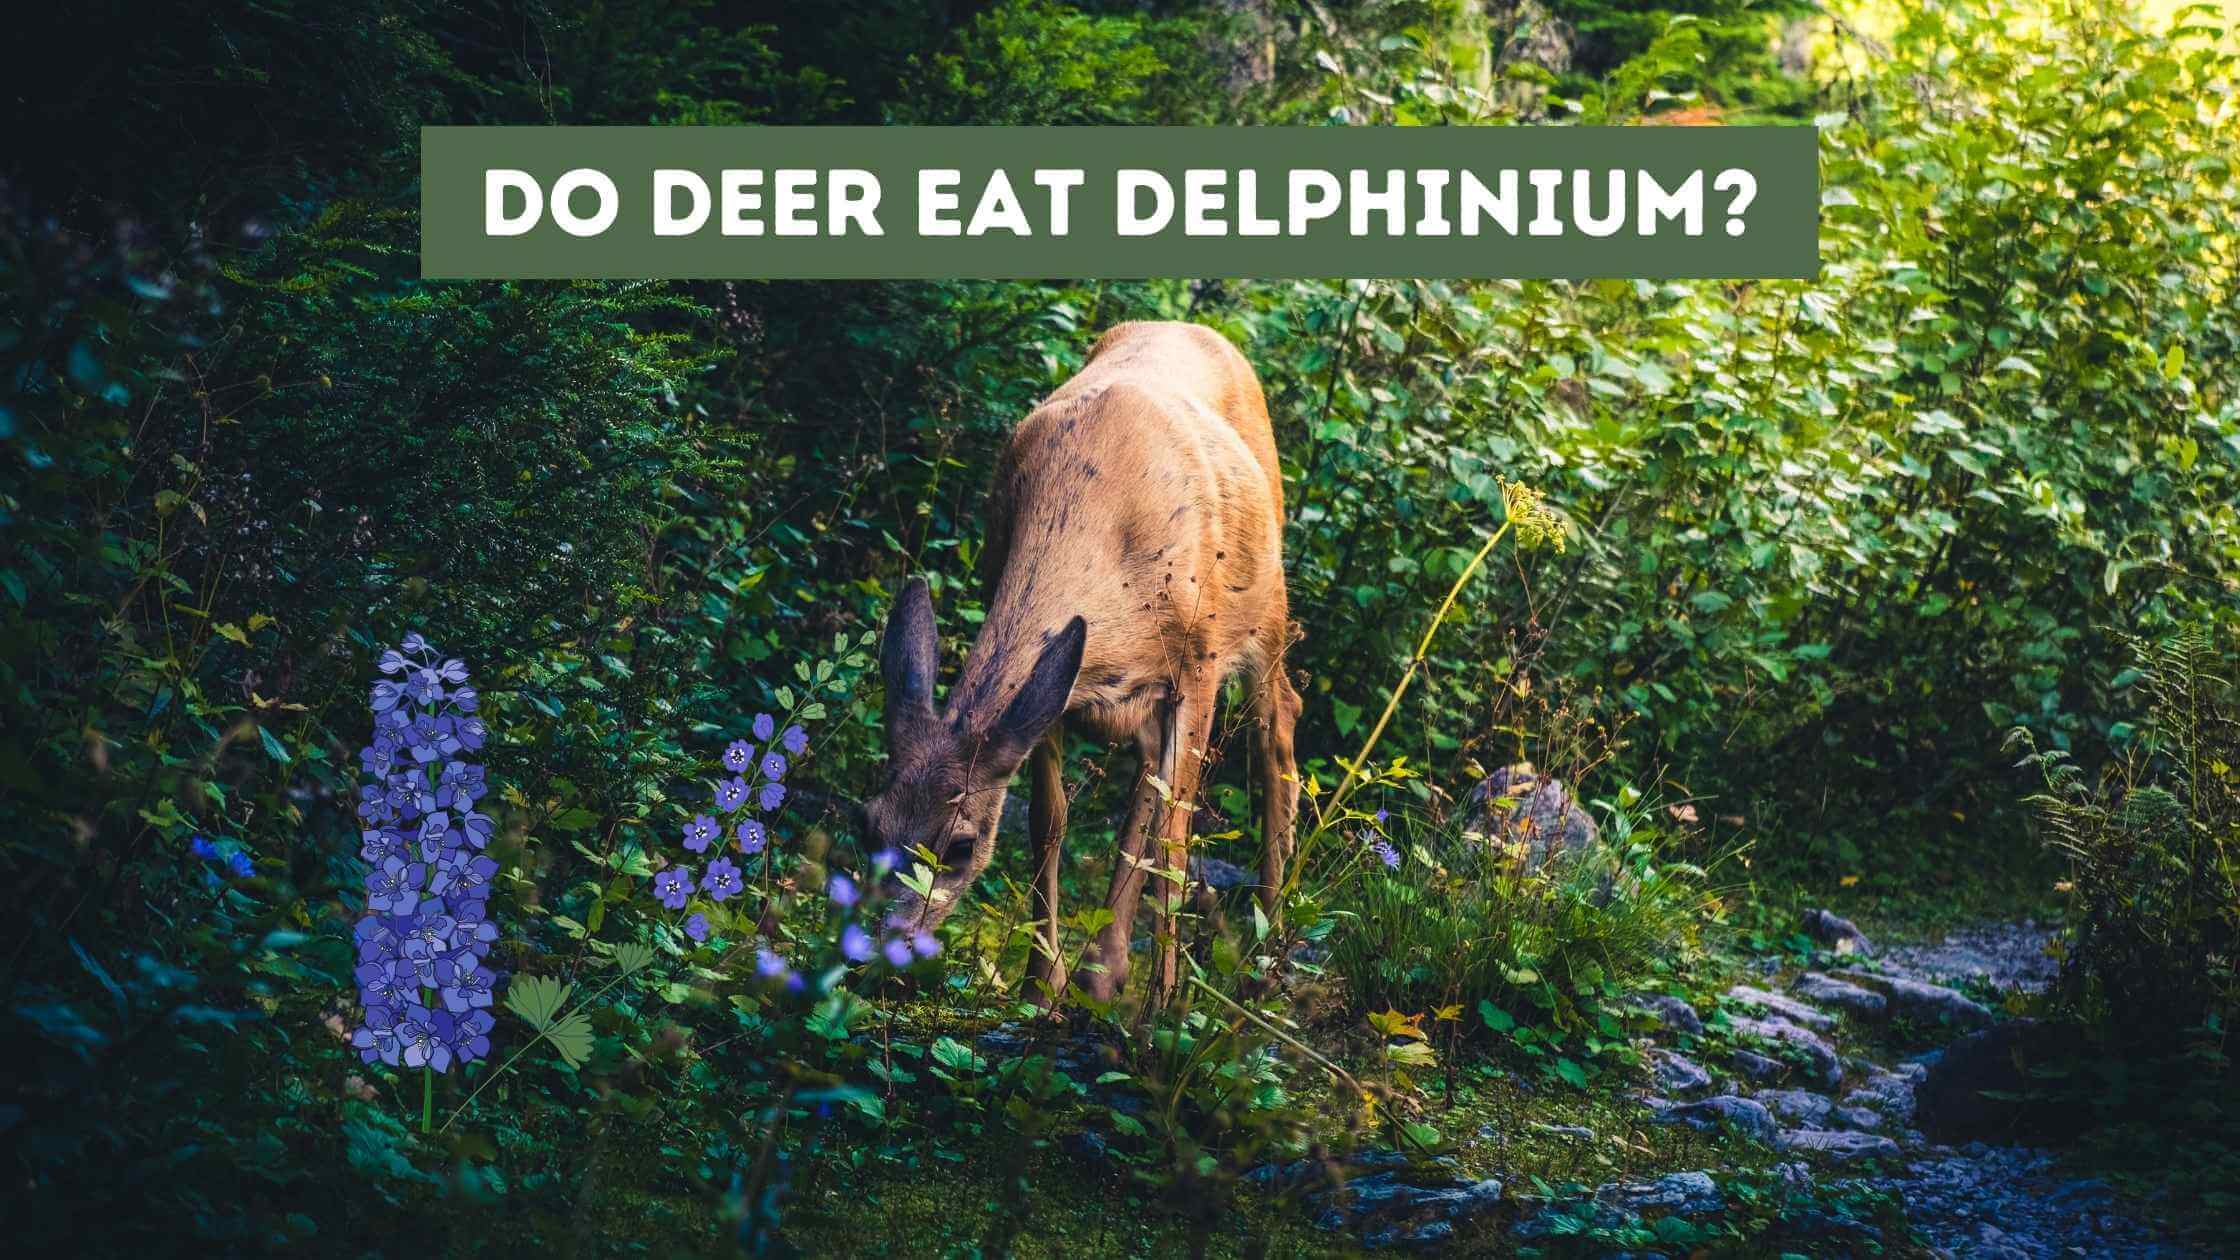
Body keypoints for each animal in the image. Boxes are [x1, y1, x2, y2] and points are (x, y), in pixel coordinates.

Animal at [862, 321, 1303, 1007]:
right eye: (868, 825)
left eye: (959, 846)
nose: (876, 952)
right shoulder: (1058, 677)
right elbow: (1049, 820)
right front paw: (1041, 985)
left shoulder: (1199, 659)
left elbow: (1176, 837)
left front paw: (1161, 1009)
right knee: (1147, 768)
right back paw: (1102, 971)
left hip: (1266, 604)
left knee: (1279, 721)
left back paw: (1266, 949)